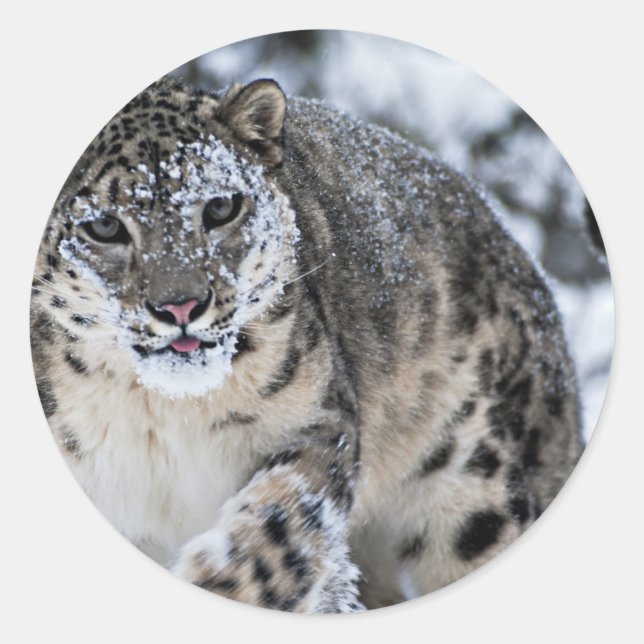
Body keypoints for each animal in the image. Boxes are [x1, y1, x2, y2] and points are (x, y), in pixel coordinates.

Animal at [30, 76, 583, 612]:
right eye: (104, 225)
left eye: (221, 206)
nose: (182, 306)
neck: (165, 415)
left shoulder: (318, 423)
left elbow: (279, 531)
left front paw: (212, 580)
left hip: (474, 478)